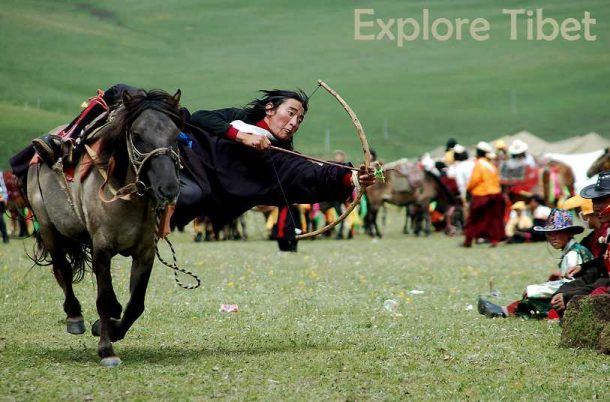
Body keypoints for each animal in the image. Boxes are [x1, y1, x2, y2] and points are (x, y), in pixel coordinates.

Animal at [26, 88, 183, 368]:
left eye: (176, 135)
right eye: (137, 135)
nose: (168, 188)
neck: (128, 196)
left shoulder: (145, 253)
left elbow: (136, 303)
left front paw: (109, 328)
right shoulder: (102, 249)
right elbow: (105, 299)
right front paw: (106, 349)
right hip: (48, 228)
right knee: (62, 269)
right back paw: (74, 317)